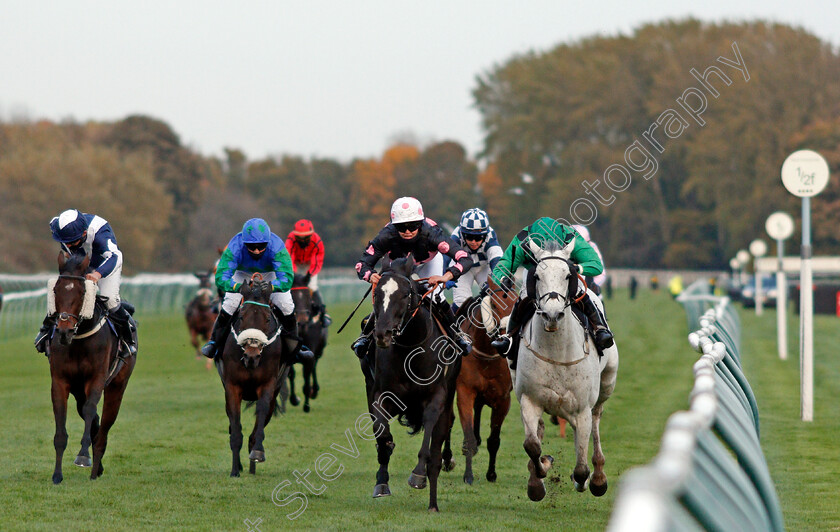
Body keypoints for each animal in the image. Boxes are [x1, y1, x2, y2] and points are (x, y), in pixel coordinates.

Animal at [213, 274, 288, 474]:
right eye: (241, 316)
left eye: (268, 319)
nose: (251, 355)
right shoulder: (232, 387)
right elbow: (235, 428)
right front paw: (234, 471)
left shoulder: (268, 385)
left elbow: (260, 415)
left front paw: (257, 452)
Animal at [288, 276, 328, 414]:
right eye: (291, 295)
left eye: (306, 296)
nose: (302, 320)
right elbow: (291, 373)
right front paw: (294, 399)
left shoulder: (312, 348)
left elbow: (307, 372)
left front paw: (306, 405)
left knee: (313, 367)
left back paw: (314, 390)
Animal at [360, 256, 460, 512]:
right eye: (377, 293)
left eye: (405, 294)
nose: (382, 334)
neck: (410, 351)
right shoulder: (379, 394)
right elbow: (382, 436)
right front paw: (382, 482)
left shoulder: (437, 398)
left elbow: (429, 439)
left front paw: (418, 474)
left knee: (438, 450)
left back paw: (433, 503)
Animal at [450, 278, 516, 486]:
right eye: (494, 304)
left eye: (517, 301)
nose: (507, 337)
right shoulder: (464, 392)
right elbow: (468, 434)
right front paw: (468, 476)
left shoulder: (503, 399)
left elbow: (494, 440)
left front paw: (491, 474)